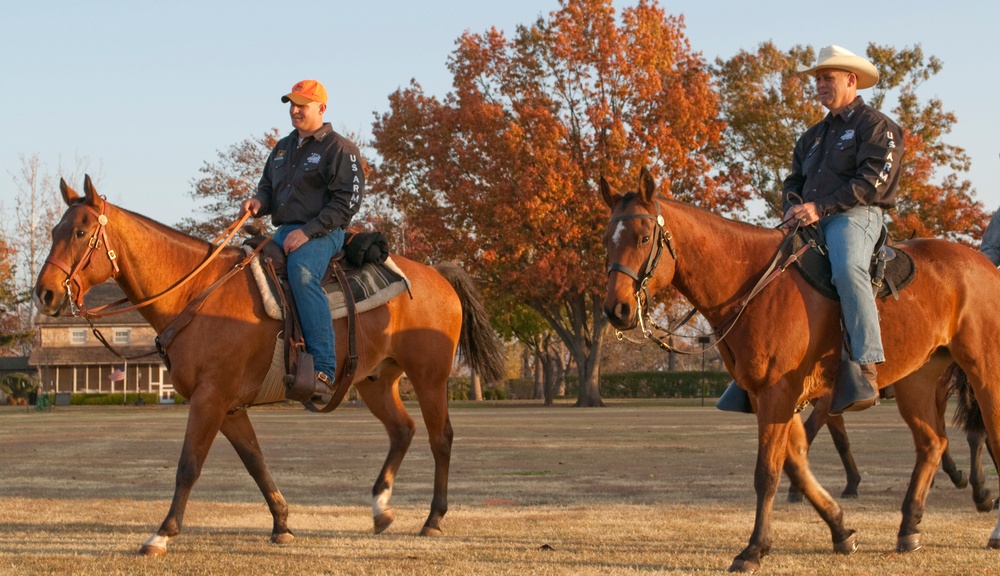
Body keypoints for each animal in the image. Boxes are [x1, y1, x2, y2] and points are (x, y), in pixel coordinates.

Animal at [33, 177, 508, 560]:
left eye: (80, 231)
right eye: (55, 230)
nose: (45, 293)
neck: (196, 292)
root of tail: (439, 275)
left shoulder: (210, 399)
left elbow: (189, 465)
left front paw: (161, 535)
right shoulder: (230, 407)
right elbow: (255, 462)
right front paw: (282, 523)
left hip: (430, 378)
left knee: (440, 438)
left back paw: (433, 519)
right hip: (375, 380)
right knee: (402, 430)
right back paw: (380, 509)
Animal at [600, 166, 1000, 572]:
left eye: (644, 237)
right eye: (606, 240)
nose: (616, 309)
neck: (755, 285)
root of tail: (985, 266)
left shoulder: (779, 394)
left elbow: (768, 472)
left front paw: (754, 549)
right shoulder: (775, 397)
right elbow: (796, 462)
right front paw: (840, 529)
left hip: (985, 372)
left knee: (987, 436)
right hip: (916, 382)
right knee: (932, 442)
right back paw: (910, 527)